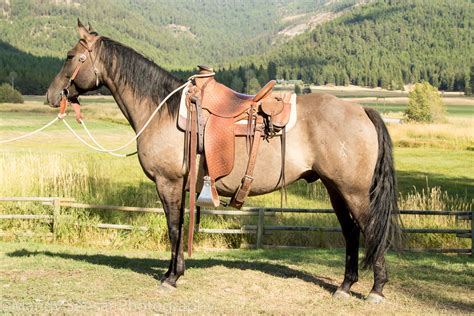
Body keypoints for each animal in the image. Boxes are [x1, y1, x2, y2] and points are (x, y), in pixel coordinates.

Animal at [45, 21, 400, 302]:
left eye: (70, 56)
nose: (51, 95)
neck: (162, 111)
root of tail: (361, 109)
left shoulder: (168, 183)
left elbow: (173, 228)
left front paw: (170, 278)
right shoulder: (181, 186)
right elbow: (181, 227)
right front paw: (177, 272)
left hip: (354, 192)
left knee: (371, 230)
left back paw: (376, 290)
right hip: (336, 189)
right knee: (351, 233)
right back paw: (345, 286)